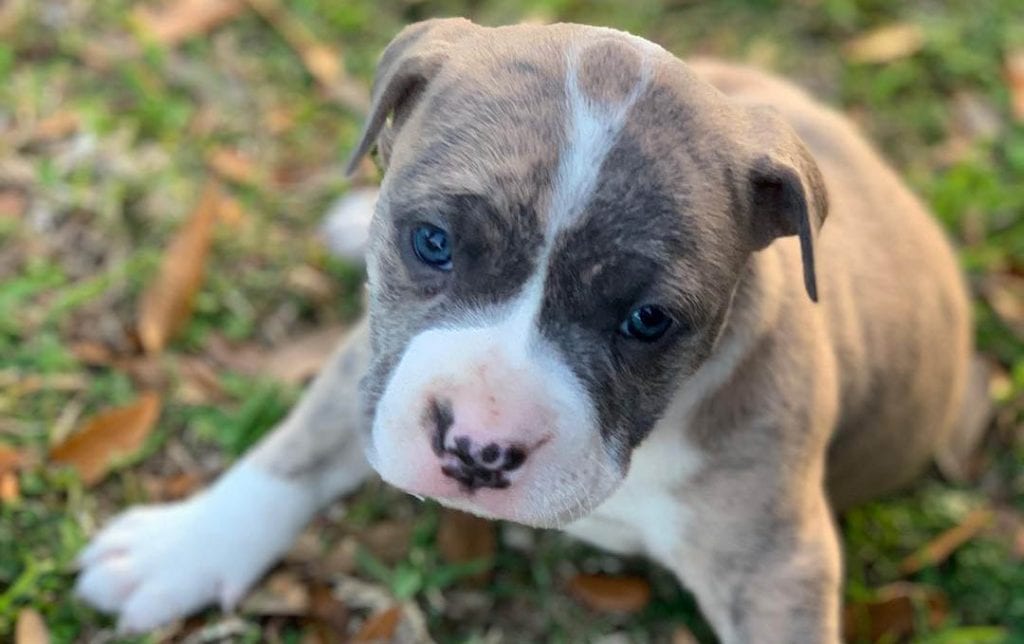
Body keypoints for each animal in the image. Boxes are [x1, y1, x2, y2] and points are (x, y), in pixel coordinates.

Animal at [75, 17, 978, 638]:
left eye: (648, 321)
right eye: (431, 243)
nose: (478, 449)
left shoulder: (775, 564)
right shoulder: (377, 362)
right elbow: (293, 451)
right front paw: (182, 548)